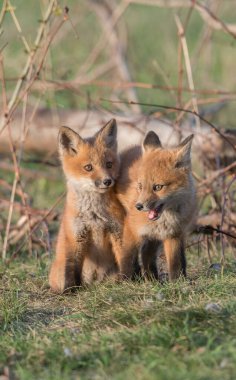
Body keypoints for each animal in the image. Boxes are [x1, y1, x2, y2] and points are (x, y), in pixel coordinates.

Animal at [48, 120, 124, 292]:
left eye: (109, 164)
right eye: (88, 167)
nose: (107, 181)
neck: (95, 216)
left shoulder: (118, 231)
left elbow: (125, 259)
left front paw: (131, 281)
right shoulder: (77, 237)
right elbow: (73, 269)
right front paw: (72, 290)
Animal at [116, 132, 197, 280]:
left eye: (158, 187)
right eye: (140, 186)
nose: (138, 206)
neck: (166, 218)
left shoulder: (173, 235)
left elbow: (175, 263)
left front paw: (176, 281)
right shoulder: (131, 229)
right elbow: (127, 258)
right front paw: (124, 281)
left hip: (158, 237)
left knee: (147, 254)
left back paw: (152, 279)